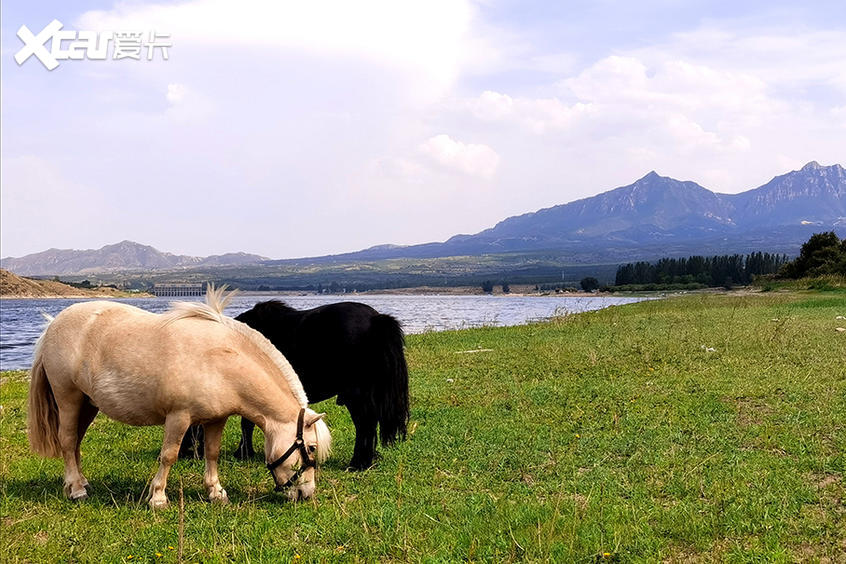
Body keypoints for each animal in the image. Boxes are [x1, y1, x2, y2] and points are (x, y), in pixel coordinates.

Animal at [26, 286, 332, 506]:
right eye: (311, 448)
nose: (306, 494)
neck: (219, 361)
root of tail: (53, 325)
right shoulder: (179, 418)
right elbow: (169, 456)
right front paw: (158, 497)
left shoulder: (216, 420)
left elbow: (212, 453)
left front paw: (215, 492)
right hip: (68, 398)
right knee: (67, 441)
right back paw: (77, 490)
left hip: (88, 405)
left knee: (75, 443)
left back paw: (79, 481)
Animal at [181, 302, 412, 470]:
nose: (185, 453)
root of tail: (376, 320)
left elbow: (247, 423)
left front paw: (244, 452)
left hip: (356, 394)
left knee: (365, 424)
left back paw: (358, 463)